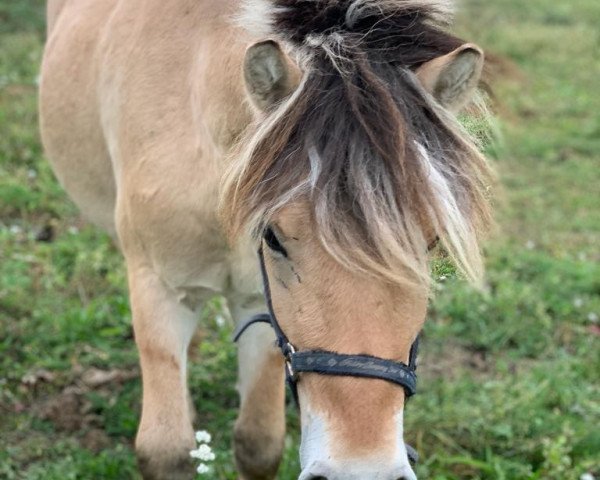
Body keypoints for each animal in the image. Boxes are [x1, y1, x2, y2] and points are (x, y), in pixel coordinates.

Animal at [38, 0, 492, 480]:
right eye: (272, 237)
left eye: (432, 241)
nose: (360, 471)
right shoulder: (158, 288)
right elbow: (165, 448)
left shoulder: (259, 303)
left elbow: (258, 443)